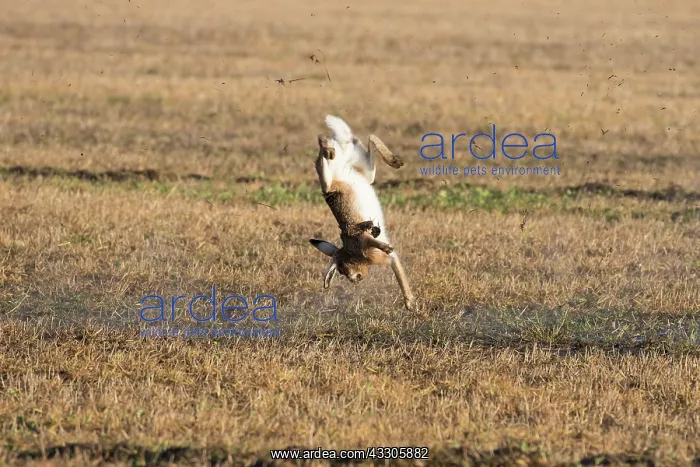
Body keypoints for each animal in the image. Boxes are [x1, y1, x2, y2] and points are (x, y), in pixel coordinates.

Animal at [309, 115, 416, 311]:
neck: (352, 253)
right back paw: (393, 160)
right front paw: (410, 303)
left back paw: (329, 150)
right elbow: (398, 273)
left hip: (332, 181)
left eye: (342, 268)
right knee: (368, 139)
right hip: (365, 169)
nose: (355, 279)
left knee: (324, 155)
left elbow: (371, 240)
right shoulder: (387, 257)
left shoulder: (359, 238)